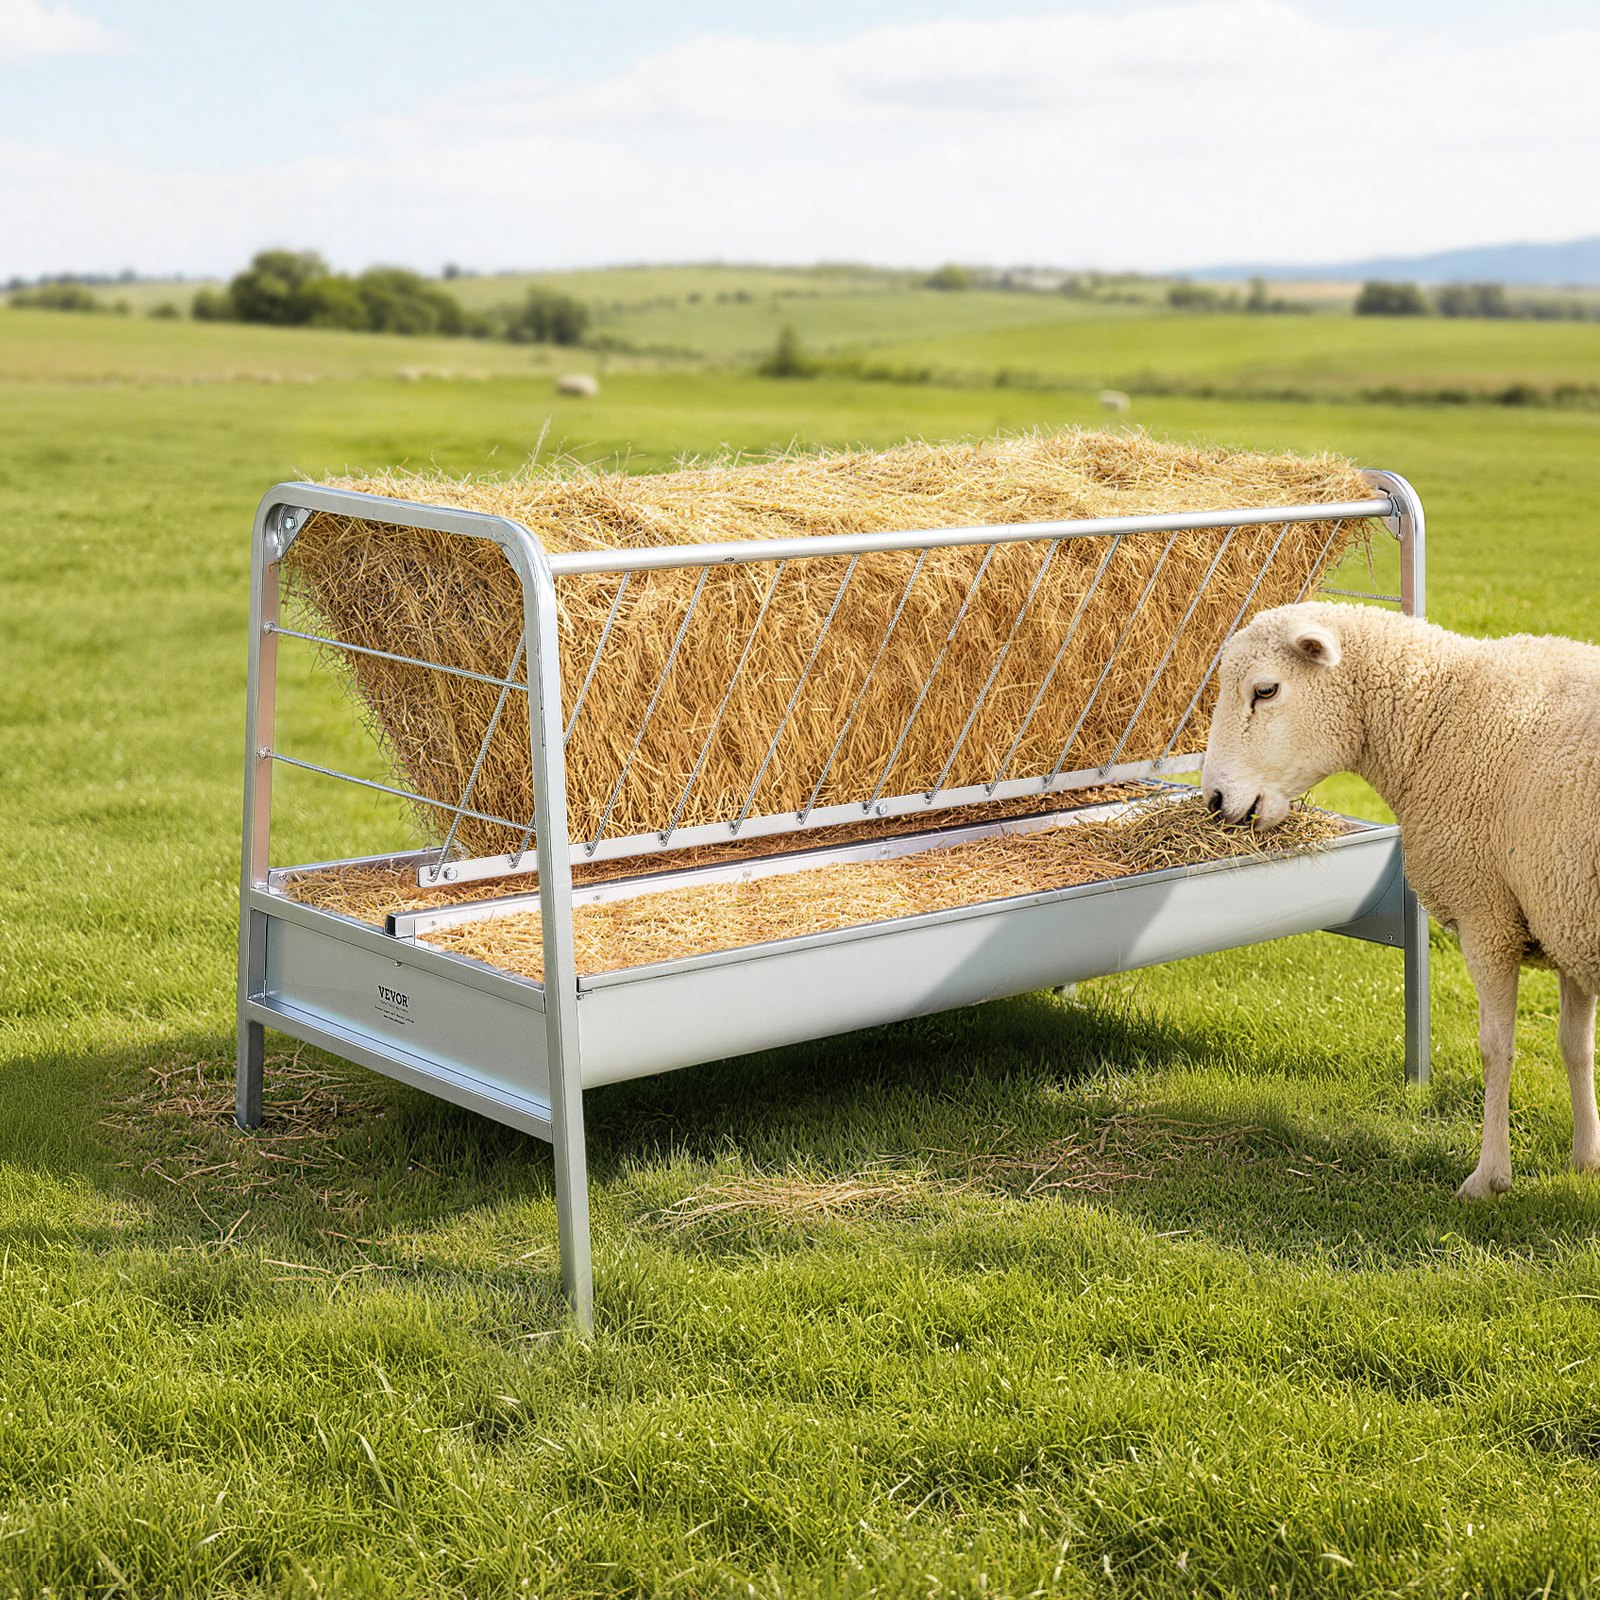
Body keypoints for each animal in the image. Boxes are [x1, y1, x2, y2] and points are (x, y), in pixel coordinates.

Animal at [1201, 600, 1600, 1199]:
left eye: (1265, 690)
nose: (1214, 800)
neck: (1436, 718)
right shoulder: (1561, 914)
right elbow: (1575, 1045)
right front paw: (1586, 1159)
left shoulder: (1487, 912)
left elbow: (1495, 1049)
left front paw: (1488, 1177)